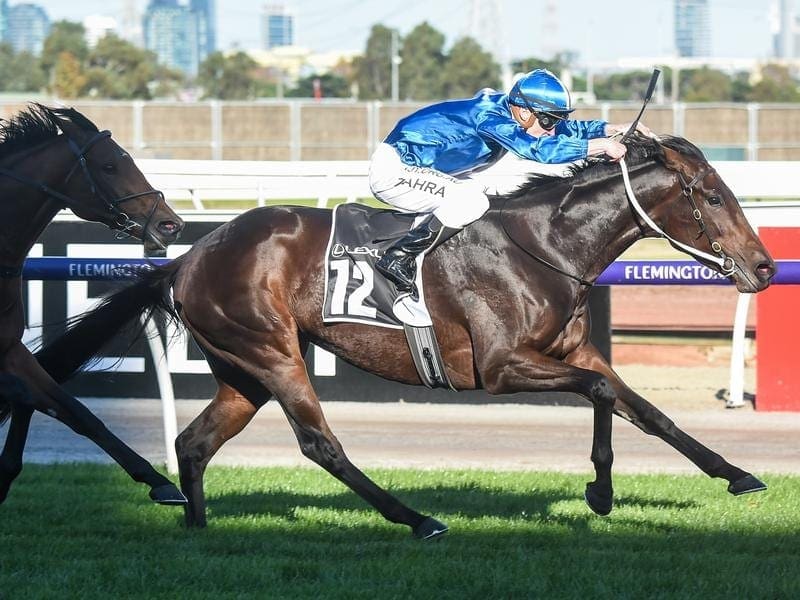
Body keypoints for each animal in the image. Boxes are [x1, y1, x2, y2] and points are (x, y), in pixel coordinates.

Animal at [37, 134, 776, 536]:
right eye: (712, 195)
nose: (766, 266)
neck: (543, 244)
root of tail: (189, 256)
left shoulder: (572, 349)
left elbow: (642, 409)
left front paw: (735, 474)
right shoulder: (500, 367)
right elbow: (600, 391)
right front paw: (600, 492)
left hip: (241, 370)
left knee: (194, 442)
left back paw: (198, 526)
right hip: (273, 353)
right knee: (320, 444)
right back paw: (417, 519)